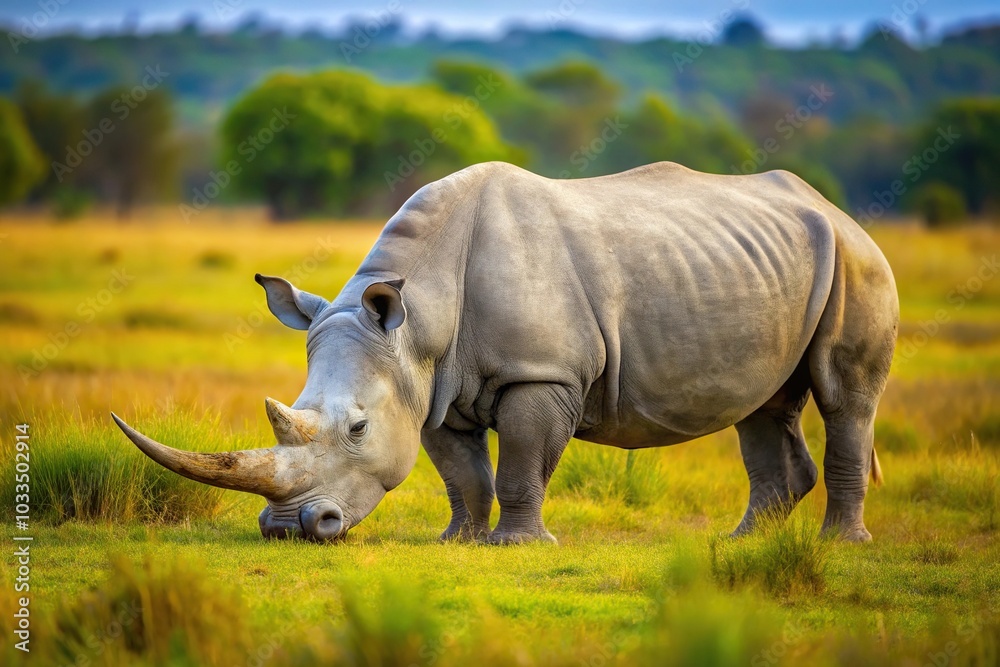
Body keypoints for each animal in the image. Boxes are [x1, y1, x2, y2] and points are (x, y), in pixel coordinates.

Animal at [112, 161, 897, 544]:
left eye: (358, 428)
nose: (286, 531)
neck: (415, 316)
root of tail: (839, 210)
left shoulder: (540, 374)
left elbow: (520, 462)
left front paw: (518, 546)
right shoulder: (427, 386)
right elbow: (463, 472)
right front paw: (457, 540)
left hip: (858, 260)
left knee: (844, 398)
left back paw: (841, 544)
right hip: (773, 263)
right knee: (766, 406)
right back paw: (744, 542)